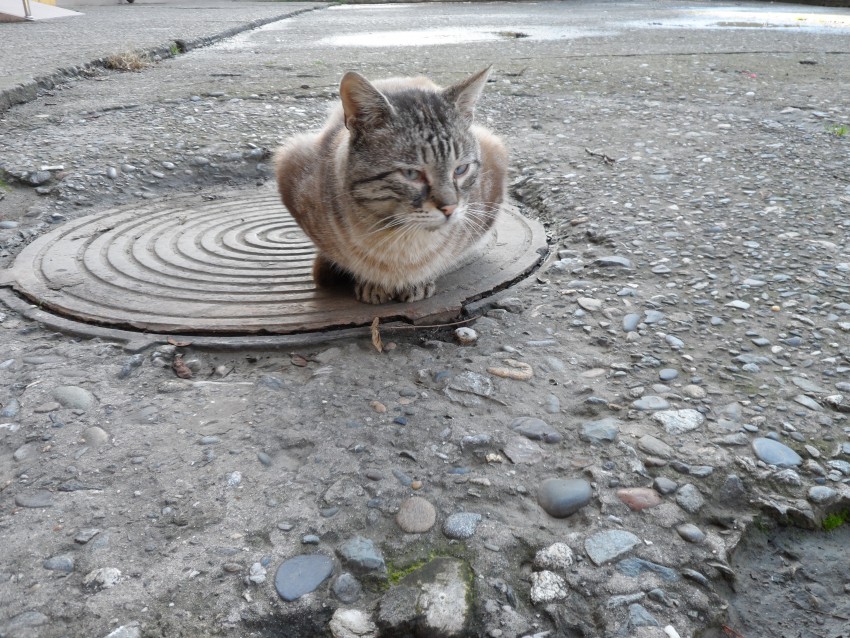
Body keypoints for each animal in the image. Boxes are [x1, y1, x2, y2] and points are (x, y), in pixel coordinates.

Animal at [274, 67, 507, 304]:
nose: (449, 208)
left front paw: (418, 281)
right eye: (412, 174)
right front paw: (370, 283)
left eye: (460, 170)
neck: (398, 238)